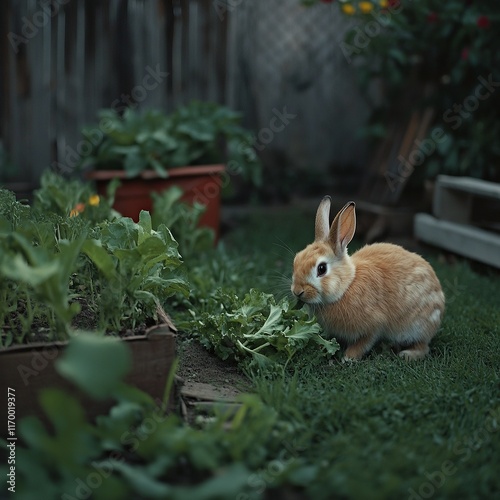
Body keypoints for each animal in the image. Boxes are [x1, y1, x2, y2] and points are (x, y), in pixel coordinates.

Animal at [290, 195, 446, 360]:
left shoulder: (374, 325)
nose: (297, 291)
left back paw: (407, 354)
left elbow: (365, 342)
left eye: (321, 269)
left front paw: (349, 357)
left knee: (423, 346)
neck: (347, 286)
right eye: (296, 259)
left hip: (418, 327)